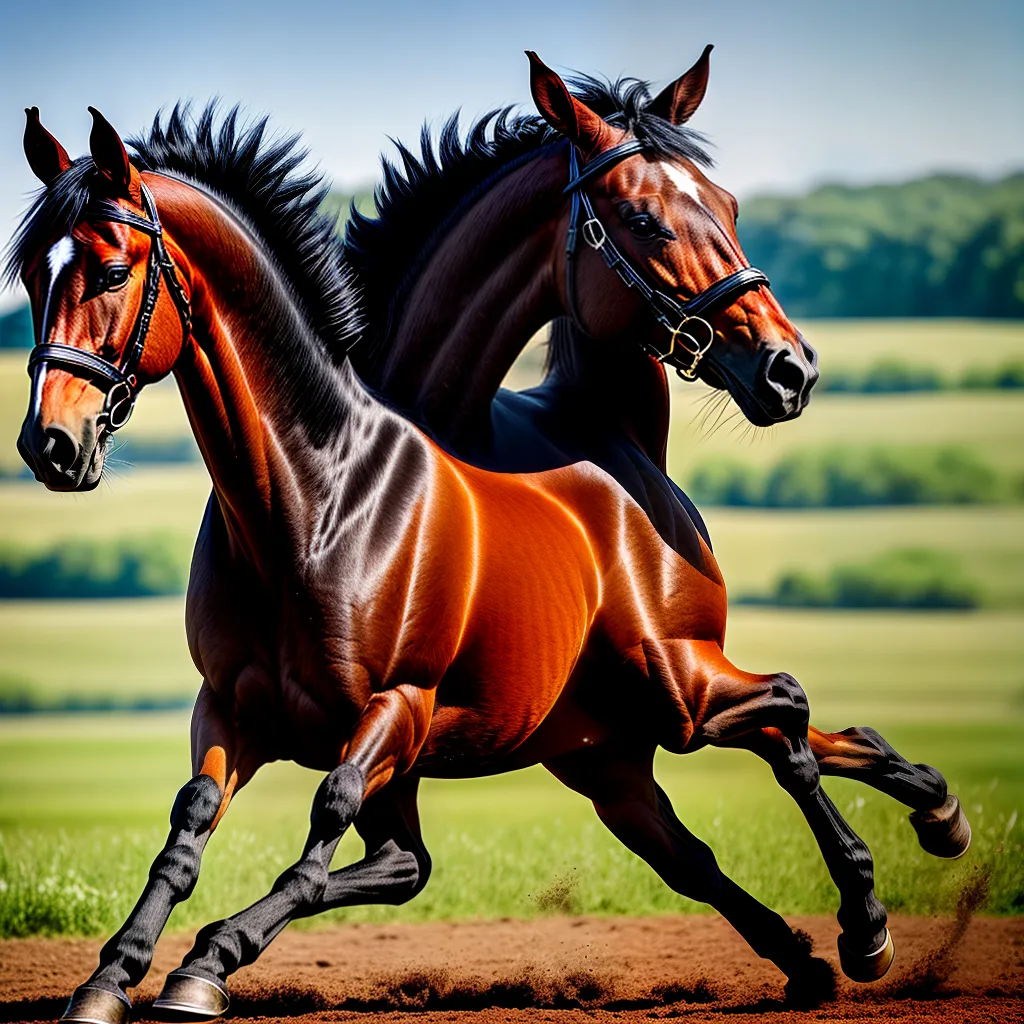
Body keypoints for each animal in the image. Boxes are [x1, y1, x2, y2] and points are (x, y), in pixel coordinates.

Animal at [9, 56, 969, 1024]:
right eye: (32, 281)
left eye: (113, 270)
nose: (52, 444)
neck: (310, 502)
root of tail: (627, 452)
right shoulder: (234, 708)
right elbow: (197, 825)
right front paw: (111, 977)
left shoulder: (397, 709)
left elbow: (324, 826)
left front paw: (205, 965)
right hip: (612, 756)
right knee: (706, 829)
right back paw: (840, 921)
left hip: (677, 690)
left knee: (788, 712)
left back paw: (872, 911)